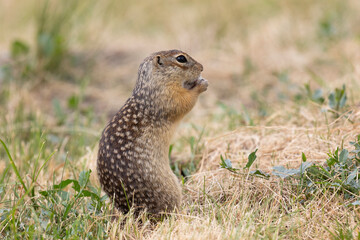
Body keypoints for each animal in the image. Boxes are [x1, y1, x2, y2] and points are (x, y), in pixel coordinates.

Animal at [97, 49, 208, 215]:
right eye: (181, 58)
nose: (201, 67)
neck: (150, 83)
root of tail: (132, 212)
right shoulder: (168, 96)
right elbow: (185, 101)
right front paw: (202, 84)